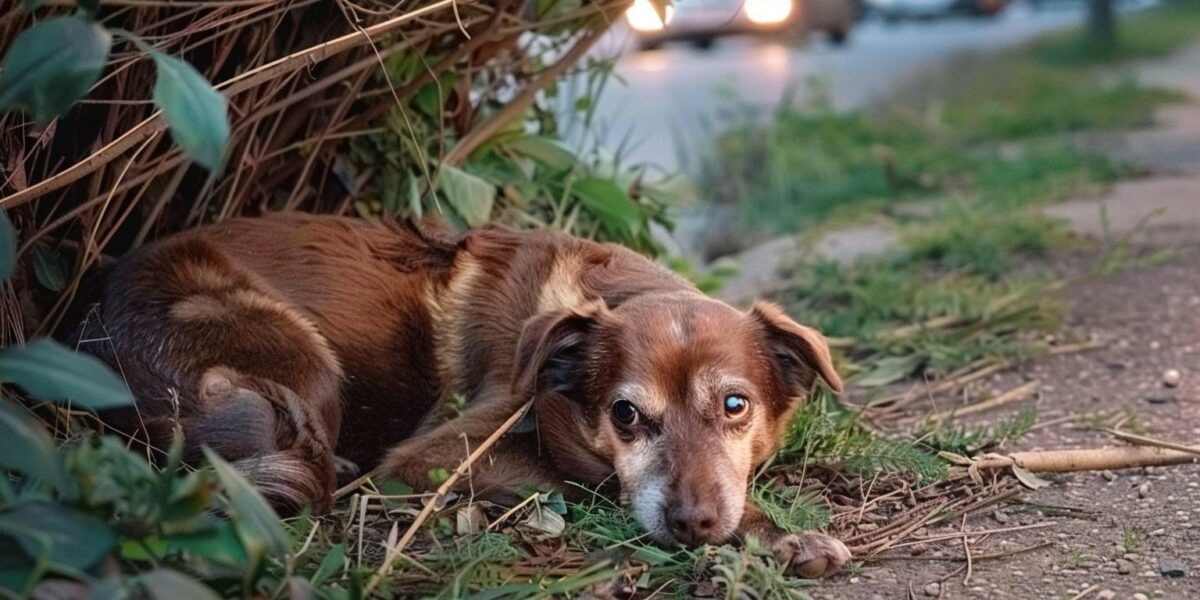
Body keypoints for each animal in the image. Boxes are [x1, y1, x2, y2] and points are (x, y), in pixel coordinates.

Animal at [68, 213, 854, 578]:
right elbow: (582, 479)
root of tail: (88, 332)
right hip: (306, 361)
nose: (693, 522)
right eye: (626, 415)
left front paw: (780, 533)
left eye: (735, 406)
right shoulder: (432, 456)